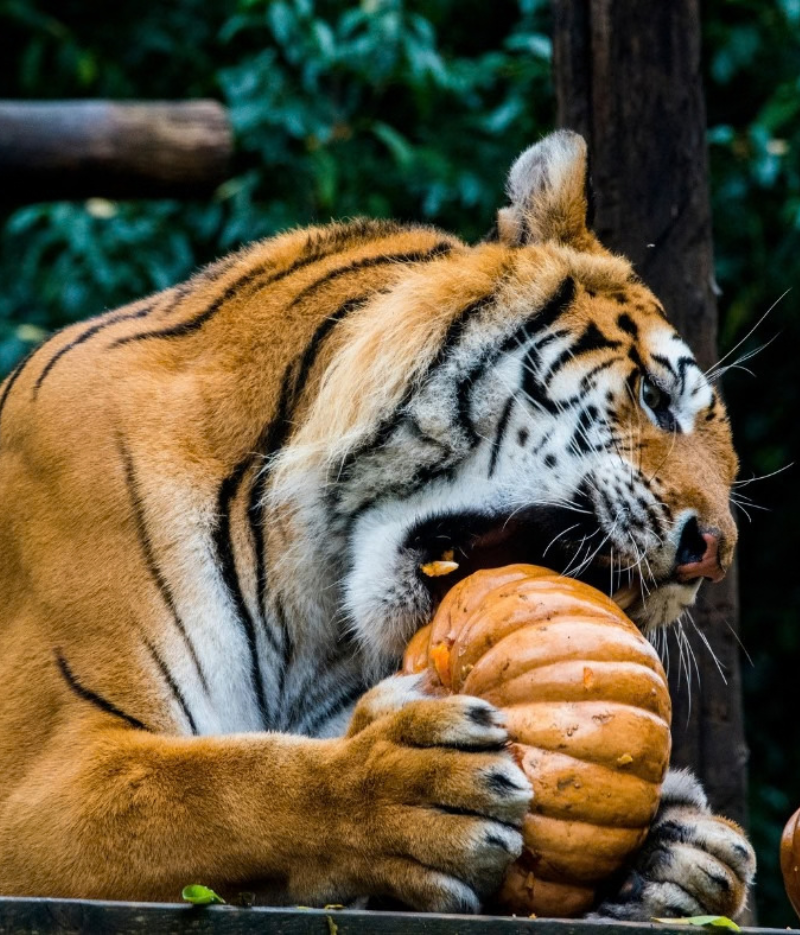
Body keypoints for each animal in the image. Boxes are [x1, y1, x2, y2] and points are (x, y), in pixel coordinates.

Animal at [0, 130, 755, 918]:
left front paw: (683, 850)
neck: (302, 589)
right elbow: (220, 790)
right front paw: (401, 786)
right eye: (656, 397)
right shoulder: (40, 774)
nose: (715, 554)